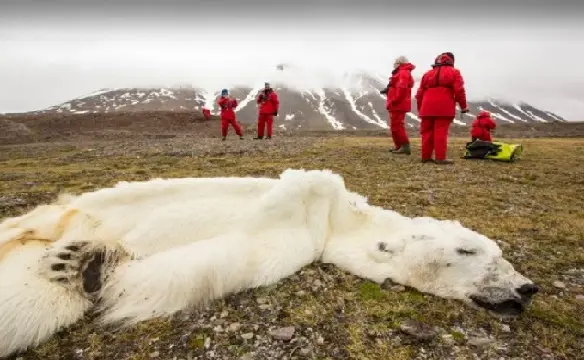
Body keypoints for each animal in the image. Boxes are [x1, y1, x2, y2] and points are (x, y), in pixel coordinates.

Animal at [0, 168, 540, 358]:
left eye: (503, 258)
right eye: (471, 251)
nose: (526, 288)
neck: (336, 223)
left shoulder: (295, 245)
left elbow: (213, 263)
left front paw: (96, 268)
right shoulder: (313, 206)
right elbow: (304, 182)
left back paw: (75, 261)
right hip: (63, 213)